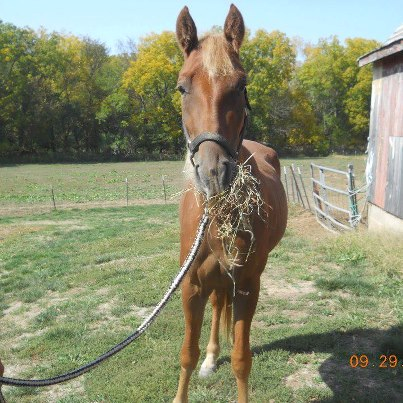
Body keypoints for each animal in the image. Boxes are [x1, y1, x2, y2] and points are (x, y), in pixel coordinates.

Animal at [174, 3, 288, 403]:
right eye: (182, 87)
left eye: (241, 85)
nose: (214, 173)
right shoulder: (191, 285)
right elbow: (186, 354)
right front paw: (201, 361)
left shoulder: (247, 285)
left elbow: (241, 359)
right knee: (216, 304)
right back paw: (211, 358)